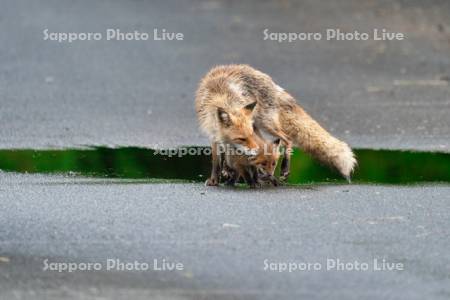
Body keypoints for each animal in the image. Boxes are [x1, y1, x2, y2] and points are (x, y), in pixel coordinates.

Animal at [195, 64, 356, 185]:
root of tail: (269, 81)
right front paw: (216, 179)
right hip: (260, 124)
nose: (254, 151)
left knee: (287, 139)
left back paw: (283, 169)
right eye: (241, 138)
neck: (220, 97)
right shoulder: (214, 138)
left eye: (248, 136)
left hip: (265, 123)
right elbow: (217, 161)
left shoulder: (251, 133)